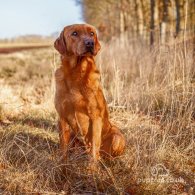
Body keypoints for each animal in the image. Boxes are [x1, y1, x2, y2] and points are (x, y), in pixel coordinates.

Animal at [54, 23, 125, 166]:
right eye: (74, 33)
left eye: (92, 33)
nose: (90, 43)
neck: (76, 73)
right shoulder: (62, 117)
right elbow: (63, 148)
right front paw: (62, 166)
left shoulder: (95, 117)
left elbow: (94, 148)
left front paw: (92, 169)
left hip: (117, 137)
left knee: (104, 153)